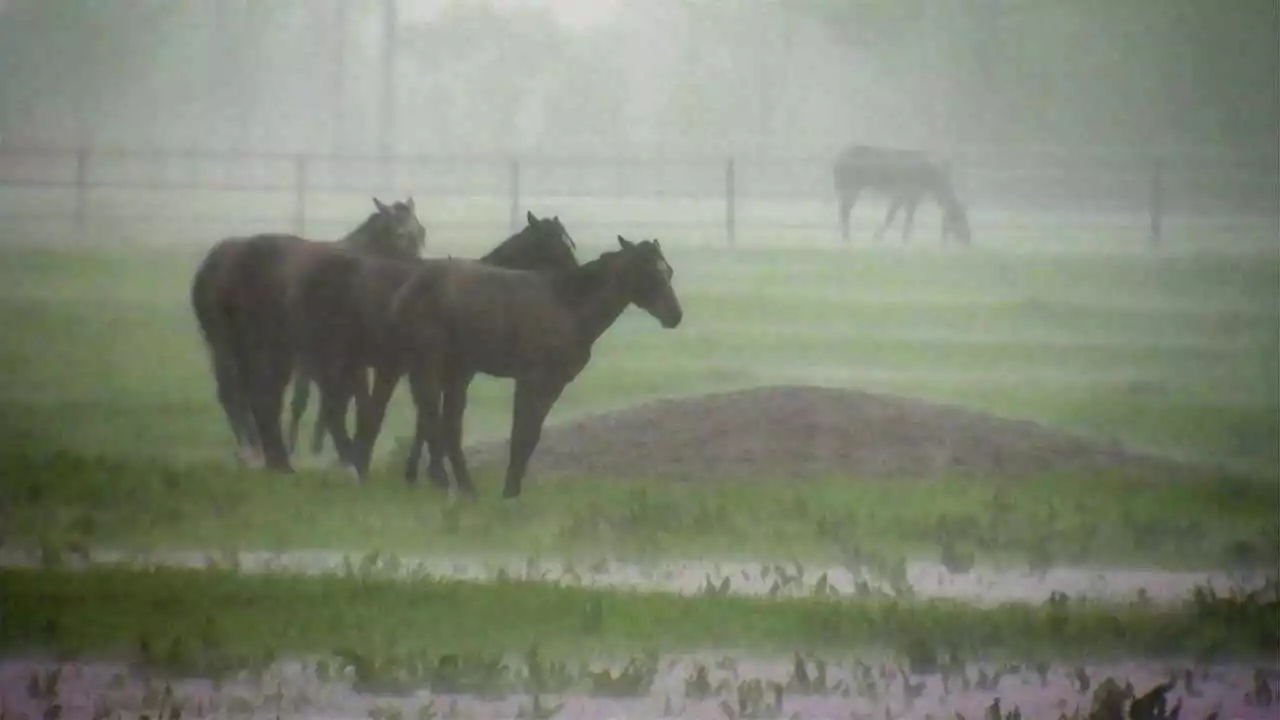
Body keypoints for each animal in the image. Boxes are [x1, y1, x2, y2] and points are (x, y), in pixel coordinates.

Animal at [189, 194, 427, 471]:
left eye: (422, 232)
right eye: (401, 234)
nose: (419, 271)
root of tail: (209, 265)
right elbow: (336, 398)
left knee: (243, 391)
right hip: (224, 342)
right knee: (233, 391)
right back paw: (252, 449)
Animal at [355, 235, 686, 499]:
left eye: (668, 271)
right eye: (647, 272)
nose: (675, 315)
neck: (567, 306)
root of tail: (409, 287)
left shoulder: (553, 385)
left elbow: (531, 435)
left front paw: (513, 490)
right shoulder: (531, 380)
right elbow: (521, 434)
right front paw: (509, 492)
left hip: (448, 370)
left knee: (438, 421)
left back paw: (459, 485)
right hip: (431, 366)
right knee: (432, 420)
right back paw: (444, 482)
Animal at [829, 144, 967, 244]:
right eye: (958, 217)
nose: (968, 239)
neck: (931, 180)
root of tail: (836, 160)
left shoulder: (914, 197)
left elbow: (908, 219)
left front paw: (904, 239)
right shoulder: (902, 194)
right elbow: (891, 216)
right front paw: (878, 237)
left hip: (849, 189)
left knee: (844, 211)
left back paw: (844, 236)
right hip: (851, 188)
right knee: (844, 211)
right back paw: (846, 237)